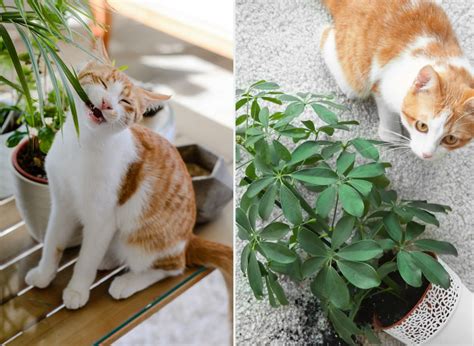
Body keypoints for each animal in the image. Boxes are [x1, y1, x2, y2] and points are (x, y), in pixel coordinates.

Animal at [25, 60, 232, 310]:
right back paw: (108, 259)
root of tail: (189, 238)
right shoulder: (62, 205)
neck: (83, 145)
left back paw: (127, 282)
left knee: (173, 268)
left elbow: (86, 260)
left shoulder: (102, 219)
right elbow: (52, 243)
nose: (107, 104)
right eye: (102, 82)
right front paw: (43, 274)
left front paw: (77, 290)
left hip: (141, 238)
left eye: (125, 102)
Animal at [320, 0, 472, 159]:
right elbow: (386, 110)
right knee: (327, 40)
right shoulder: (383, 83)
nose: (427, 154)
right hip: (354, 66)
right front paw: (390, 134)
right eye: (422, 126)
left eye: (451, 139)